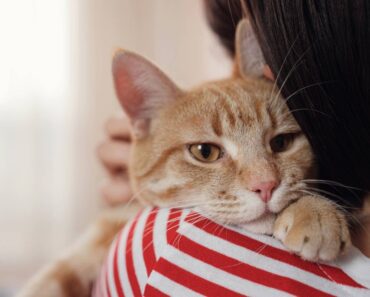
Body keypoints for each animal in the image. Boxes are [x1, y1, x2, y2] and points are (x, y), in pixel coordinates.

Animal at [17, 20, 352, 296]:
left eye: (281, 142)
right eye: (205, 152)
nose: (266, 186)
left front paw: (316, 212)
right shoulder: (108, 224)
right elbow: (55, 276)